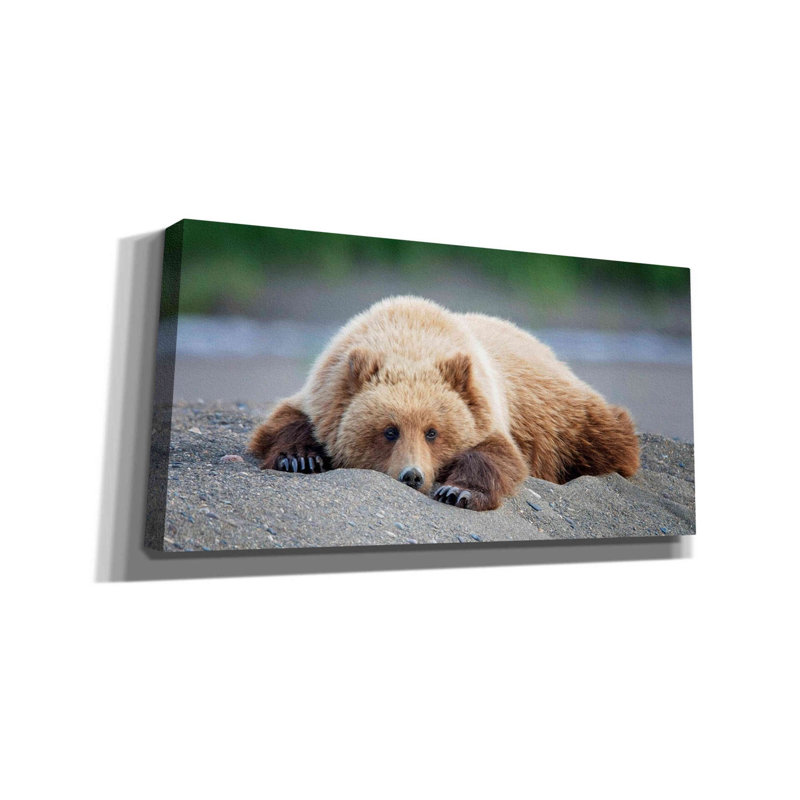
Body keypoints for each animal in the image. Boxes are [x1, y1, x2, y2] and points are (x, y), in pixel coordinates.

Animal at [248, 296, 640, 511]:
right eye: (389, 430)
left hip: (559, 413)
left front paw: (457, 491)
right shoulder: (326, 390)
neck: (409, 337)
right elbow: (285, 421)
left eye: (432, 432)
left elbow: (497, 455)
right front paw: (299, 458)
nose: (412, 475)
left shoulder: (484, 407)